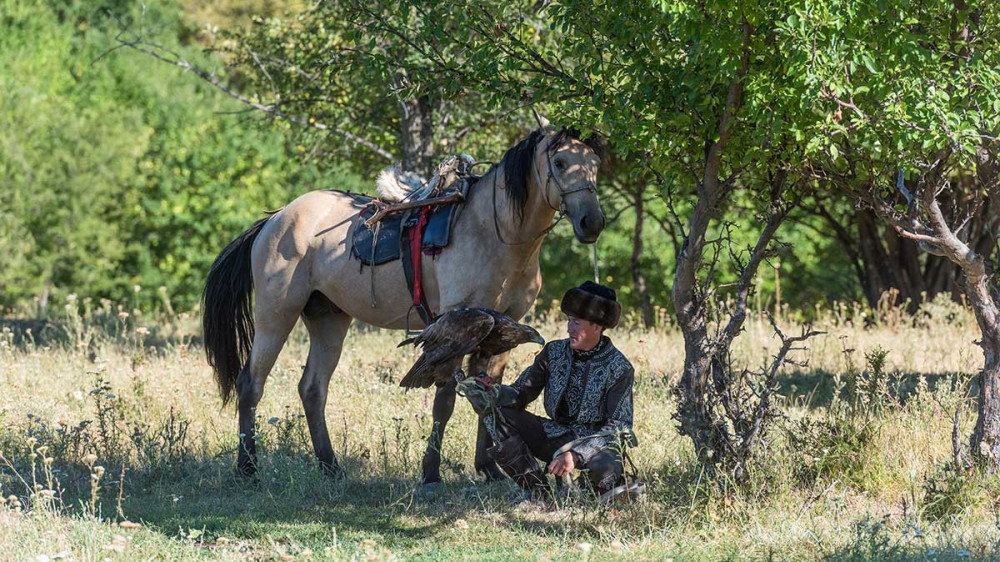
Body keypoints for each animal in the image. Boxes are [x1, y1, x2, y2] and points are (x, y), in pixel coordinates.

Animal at [200, 124, 604, 484]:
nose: (593, 223)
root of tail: (276, 219)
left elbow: (490, 395)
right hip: (276, 316)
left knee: (312, 389)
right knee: (251, 384)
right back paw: (248, 469)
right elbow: (445, 402)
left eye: (595, 164)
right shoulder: (454, 332)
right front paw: (431, 473)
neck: (496, 233)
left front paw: (488, 468)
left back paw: (330, 467)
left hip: (329, 319)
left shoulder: (504, 331)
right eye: (561, 162)